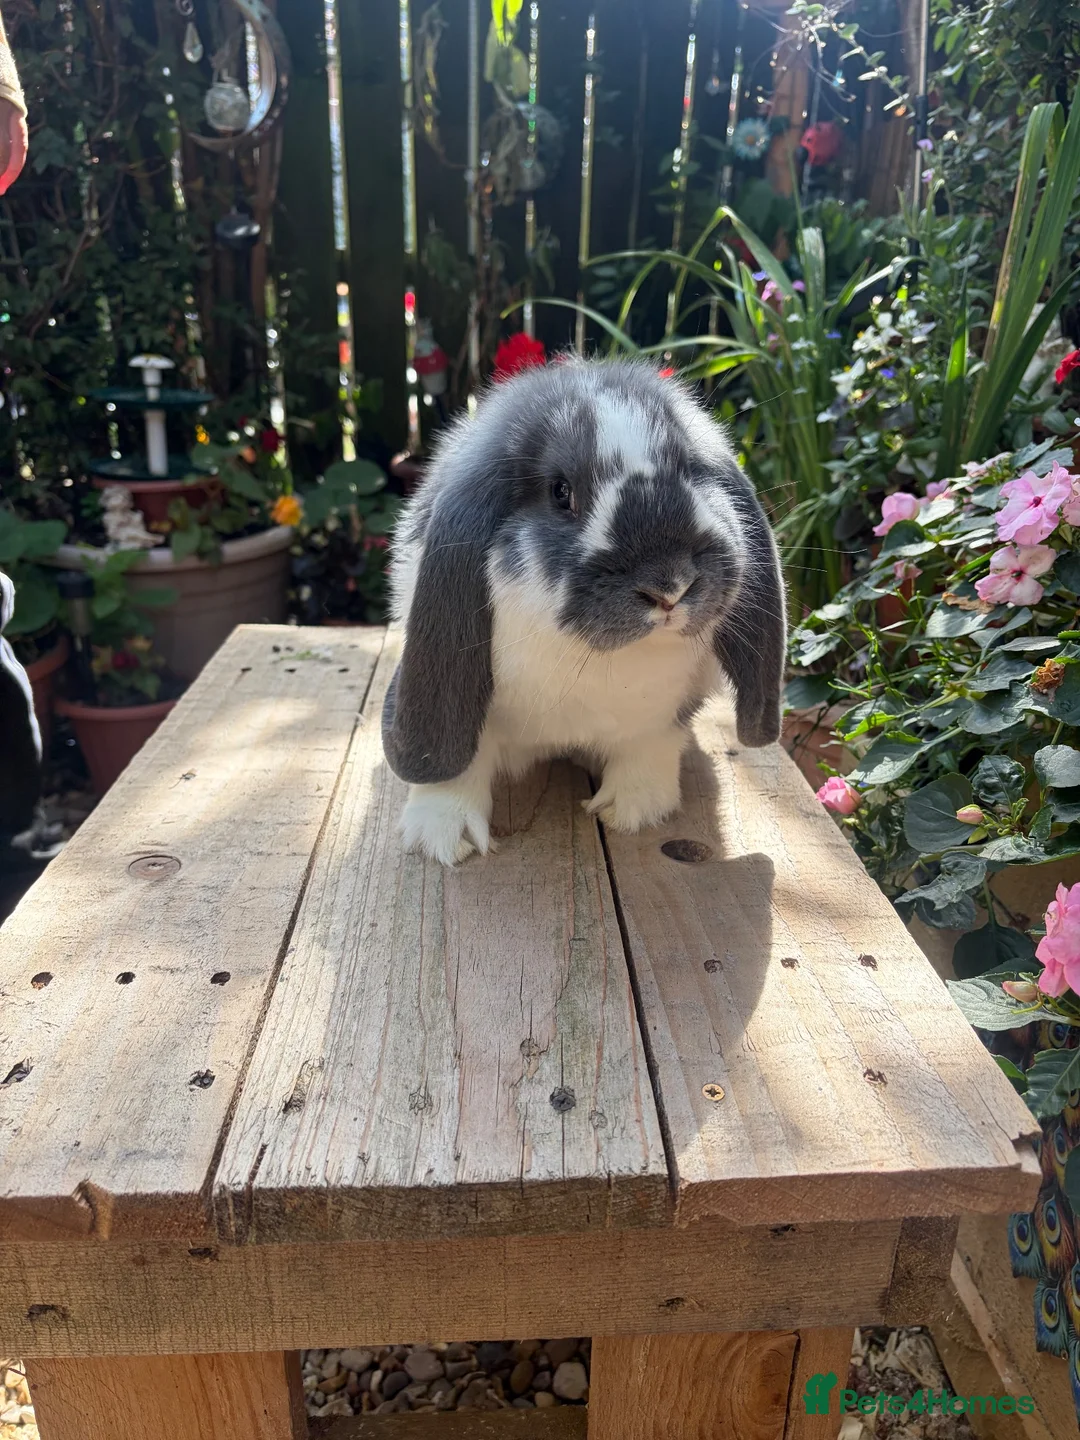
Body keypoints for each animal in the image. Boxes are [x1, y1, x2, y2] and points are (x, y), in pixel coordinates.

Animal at [381, 357, 786, 865]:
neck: (600, 663)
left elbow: (649, 749)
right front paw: (444, 835)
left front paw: (634, 809)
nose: (670, 587)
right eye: (560, 492)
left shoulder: (663, 717)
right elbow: (458, 762)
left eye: (691, 473)